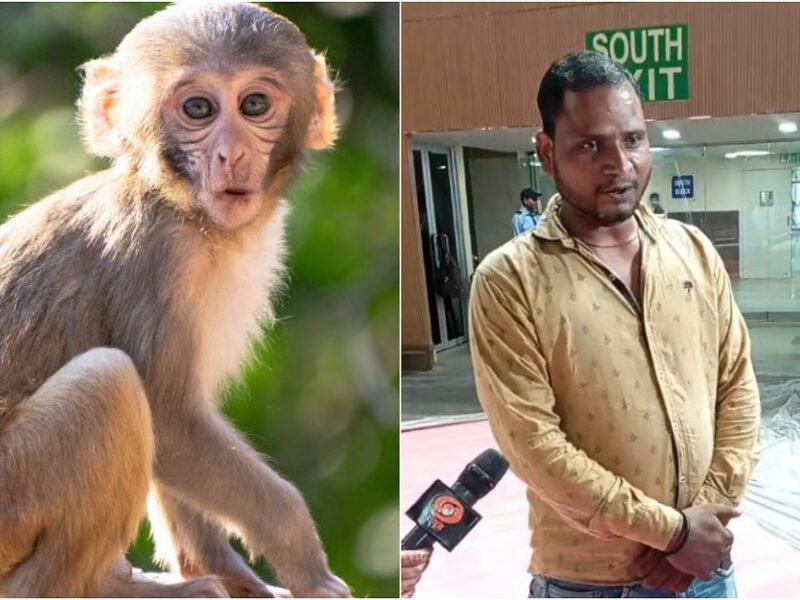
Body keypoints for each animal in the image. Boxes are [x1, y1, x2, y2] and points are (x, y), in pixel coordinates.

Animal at [0, 2, 352, 598]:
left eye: (254, 105)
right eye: (198, 109)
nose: (230, 154)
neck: (182, 207)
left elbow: (180, 426)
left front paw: (225, 571)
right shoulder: (158, 257)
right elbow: (169, 416)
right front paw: (306, 562)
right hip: (12, 489)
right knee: (109, 383)